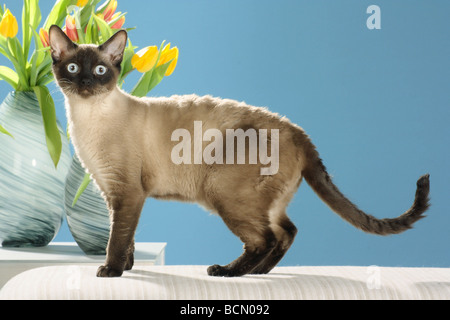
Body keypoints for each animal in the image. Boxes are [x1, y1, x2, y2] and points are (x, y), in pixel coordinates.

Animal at [47, 26, 430, 278]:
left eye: (100, 71)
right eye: (72, 69)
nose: (85, 83)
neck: (87, 120)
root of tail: (298, 131)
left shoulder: (127, 193)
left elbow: (118, 238)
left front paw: (111, 271)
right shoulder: (116, 193)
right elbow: (128, 239)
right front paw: (126, 268)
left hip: (223, 194)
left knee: (264, 238)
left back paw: (228, 272)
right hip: (262, 200)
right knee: (287, 231)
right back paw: (258, 274)